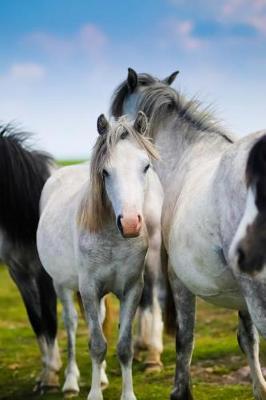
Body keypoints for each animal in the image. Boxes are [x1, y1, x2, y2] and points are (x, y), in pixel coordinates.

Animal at [36, 112, 163, 400]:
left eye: (145, 167)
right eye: (105, 172)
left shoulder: (132, 289)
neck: (113, 239)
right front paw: (93, 394)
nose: (130, 223)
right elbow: (96, 344)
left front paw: (127, 394)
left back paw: (102, 377)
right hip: (61, 285)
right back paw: (71, 382)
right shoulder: (89, 289)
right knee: (71, 325)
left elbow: (124, 346)